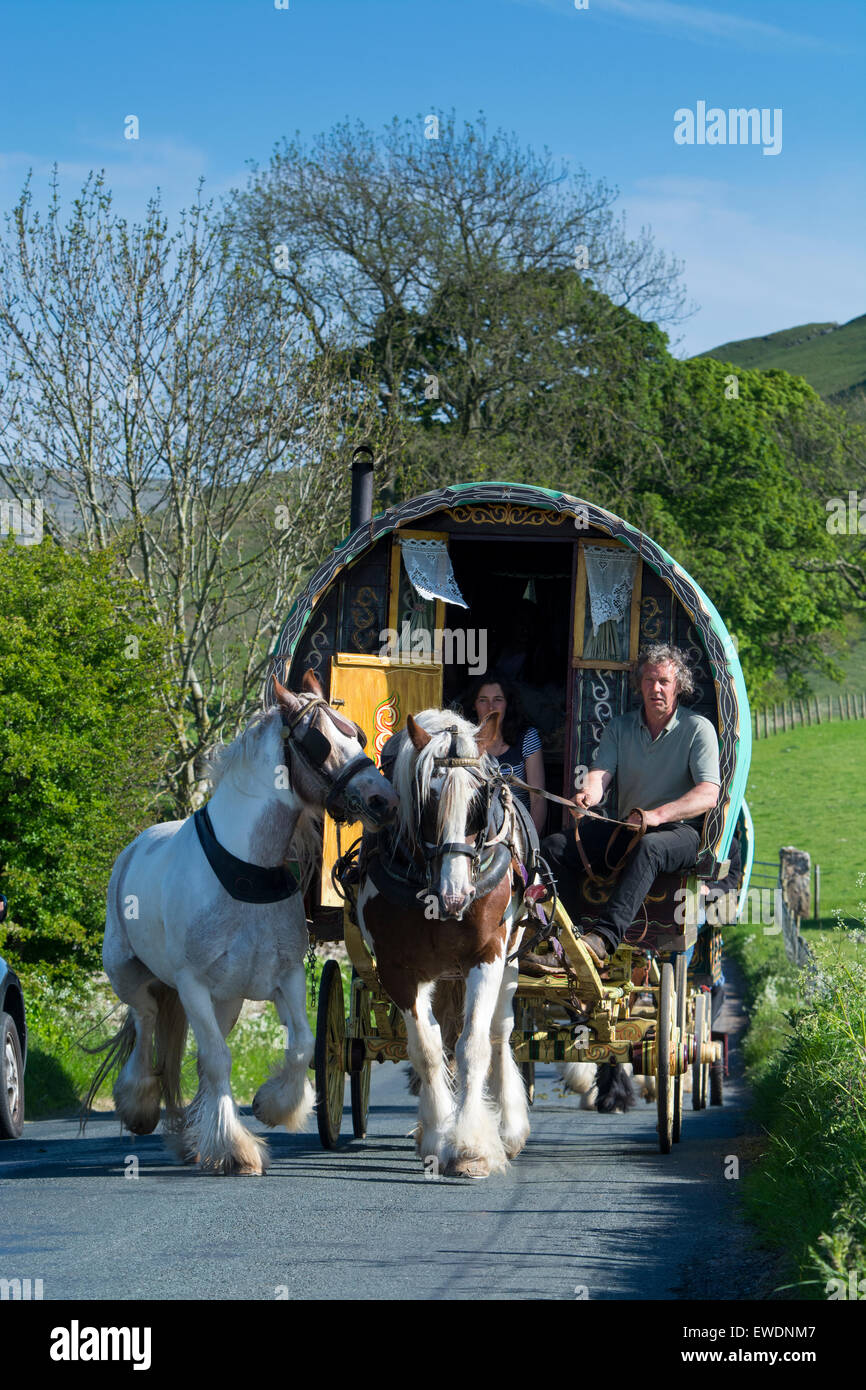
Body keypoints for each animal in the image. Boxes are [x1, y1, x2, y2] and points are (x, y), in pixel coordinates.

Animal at [88, 672, 400, 1173]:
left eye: (357, 734)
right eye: (319, 741)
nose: (385, 800)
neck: (245, 870)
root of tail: (137, 845)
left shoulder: (286, 977)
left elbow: (300, 1045)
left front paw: (272, 1106)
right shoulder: (192, 984)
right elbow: (217, 1059)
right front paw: (235, 1149)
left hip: (228, 1001)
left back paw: (190, 1135)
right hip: (129, 974)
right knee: (146, 1018)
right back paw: (139, 1103)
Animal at [358, 706, 536, 1173]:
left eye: (479, 803)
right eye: (428, 802)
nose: (456, 897)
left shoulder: (487, 955)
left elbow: (472, 1046)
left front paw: (471, 1147)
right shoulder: (397, 970)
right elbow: (427, 1049)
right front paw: (440, 1134)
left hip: (511, 958)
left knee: (499, 1033)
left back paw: (509, 1128)